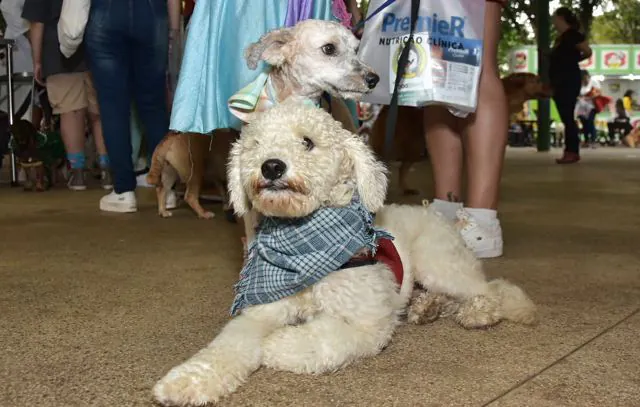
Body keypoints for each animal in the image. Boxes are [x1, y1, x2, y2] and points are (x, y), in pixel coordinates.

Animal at [152, 103, 536, 407]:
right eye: (256, 144)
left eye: (307, 142)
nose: (271, 166)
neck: (304, 248)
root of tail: (436, 215)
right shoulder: (259, 312)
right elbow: (225, 347)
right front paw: (188, 380)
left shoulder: (367, 322)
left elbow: (321, 338)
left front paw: (276, 344)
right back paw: (426, 308)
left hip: (438, 262)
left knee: (488, 290)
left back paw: (479, 312)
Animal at [368, 72, 552, 195]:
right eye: (538, 80)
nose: (553, 88)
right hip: (403, 144)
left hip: (414, 147)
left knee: (402, 168)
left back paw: (406, 189)